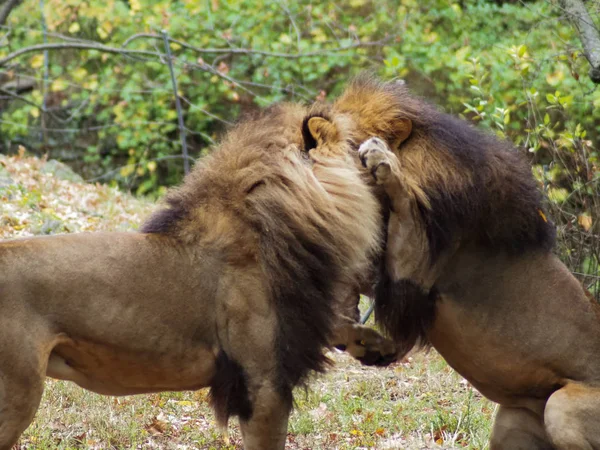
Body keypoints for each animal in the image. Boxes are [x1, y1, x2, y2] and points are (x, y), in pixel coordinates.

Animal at [0, 104, 394, 450]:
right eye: (361, 145)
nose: (386, 151)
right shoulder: (262, 383)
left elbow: (338, 326)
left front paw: (376, 345)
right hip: (17, 394)